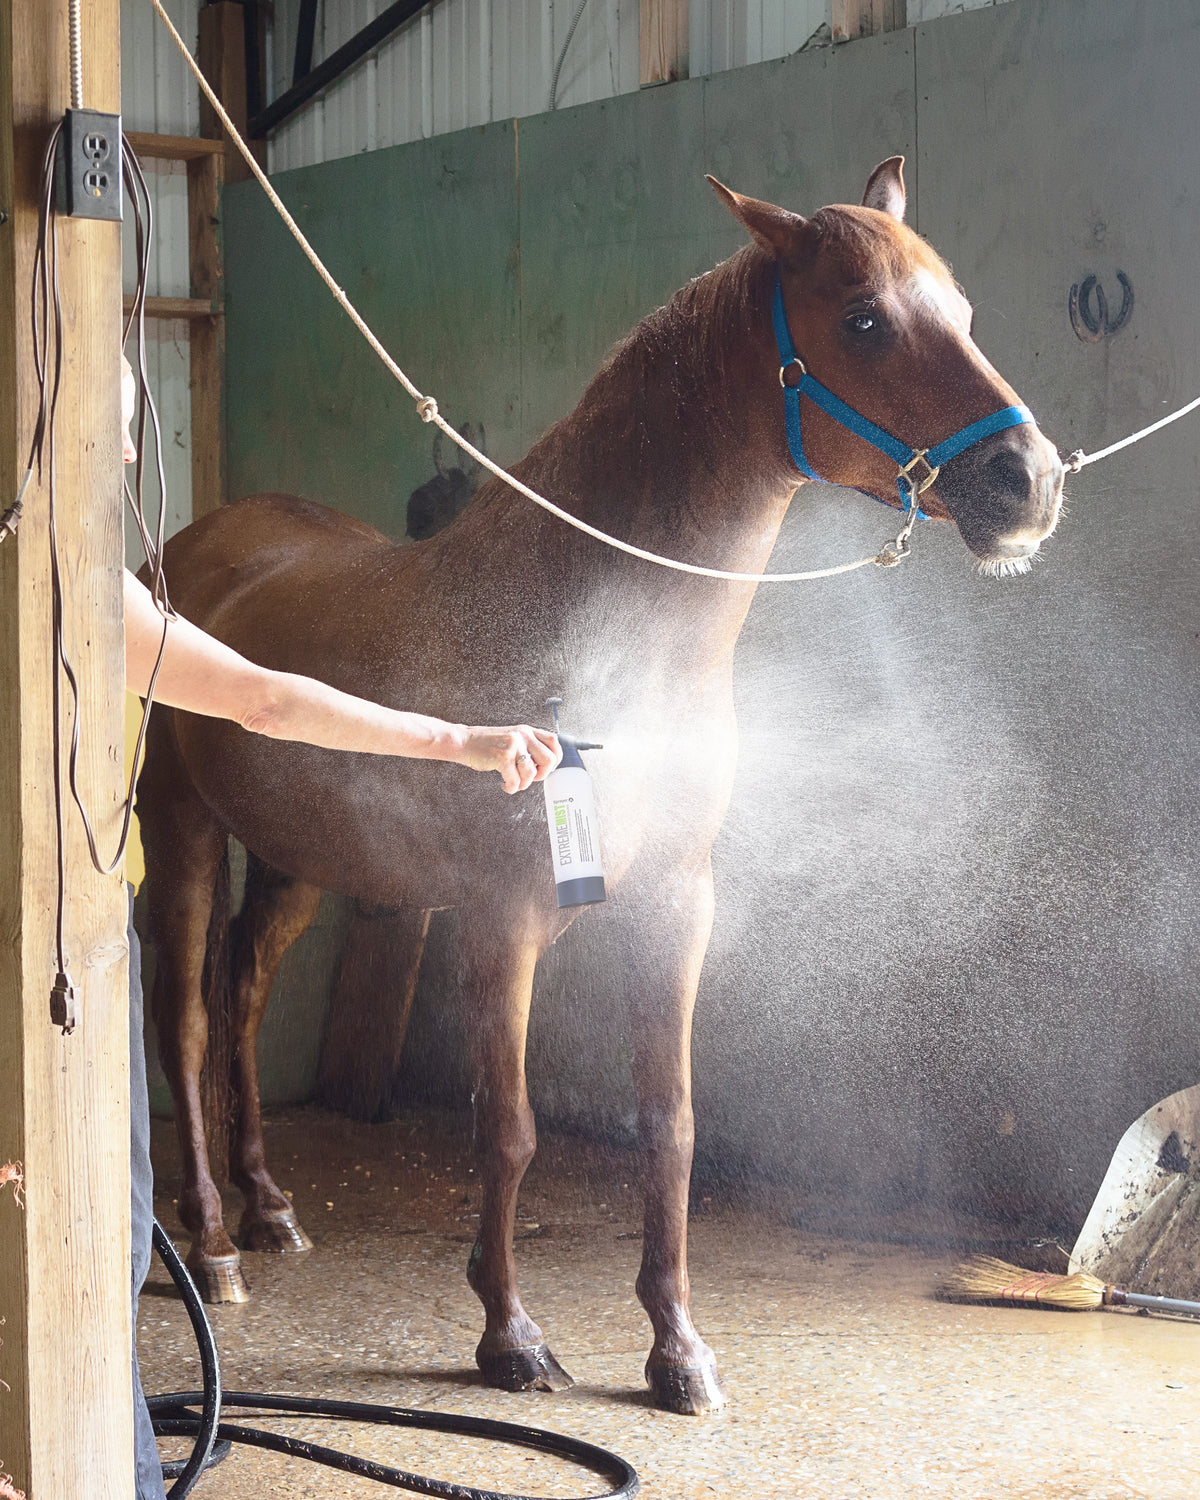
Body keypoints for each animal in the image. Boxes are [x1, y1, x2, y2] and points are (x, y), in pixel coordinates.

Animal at [137, 158, 1064, 1415]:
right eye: (864, 319)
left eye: (962, 312)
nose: (1029, 484)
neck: (596, 633)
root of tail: (188, 551)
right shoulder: (503, 920)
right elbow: (510, 1131)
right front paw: (510, 1335)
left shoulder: (677, 904)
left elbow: (669, 1124)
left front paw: (679, 1350)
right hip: (182, 833)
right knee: (182, 1019)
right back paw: (214, 1245)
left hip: (294, 866)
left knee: (237, 997)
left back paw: (272, 1210)